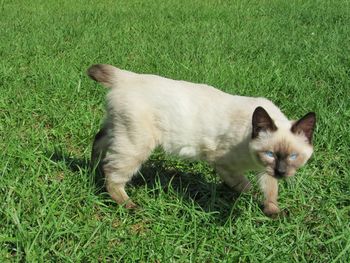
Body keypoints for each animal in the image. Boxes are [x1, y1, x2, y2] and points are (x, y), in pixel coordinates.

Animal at [88, 64, 318, 217]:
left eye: (293, 157)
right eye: (270, 154)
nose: (281, 171)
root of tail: (127, 77)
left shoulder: (264, 171)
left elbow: (271, 191)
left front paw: (272, 212)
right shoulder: (224, 164)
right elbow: (244, 186)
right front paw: (244, 196)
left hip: (117, 131)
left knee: (98, 142)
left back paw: (92, 168)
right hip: (136, 145)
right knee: (112, 173)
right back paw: (129, 205)